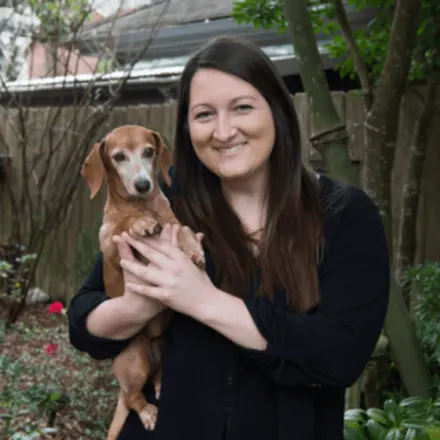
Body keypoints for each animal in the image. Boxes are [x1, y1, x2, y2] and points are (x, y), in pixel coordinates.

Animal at [81, 124, 205, 440]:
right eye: (119, 156)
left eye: (149, 151)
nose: (142, 184)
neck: (143, 205)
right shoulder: (111, 247)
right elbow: (124, 225)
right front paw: (140, 224)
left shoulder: (174, 222)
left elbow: (183, 228)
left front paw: (194, 250)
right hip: (135, 362)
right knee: (134, 398)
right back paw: (148, 411)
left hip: (161, 355)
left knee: (157, 378)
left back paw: (160, 386)